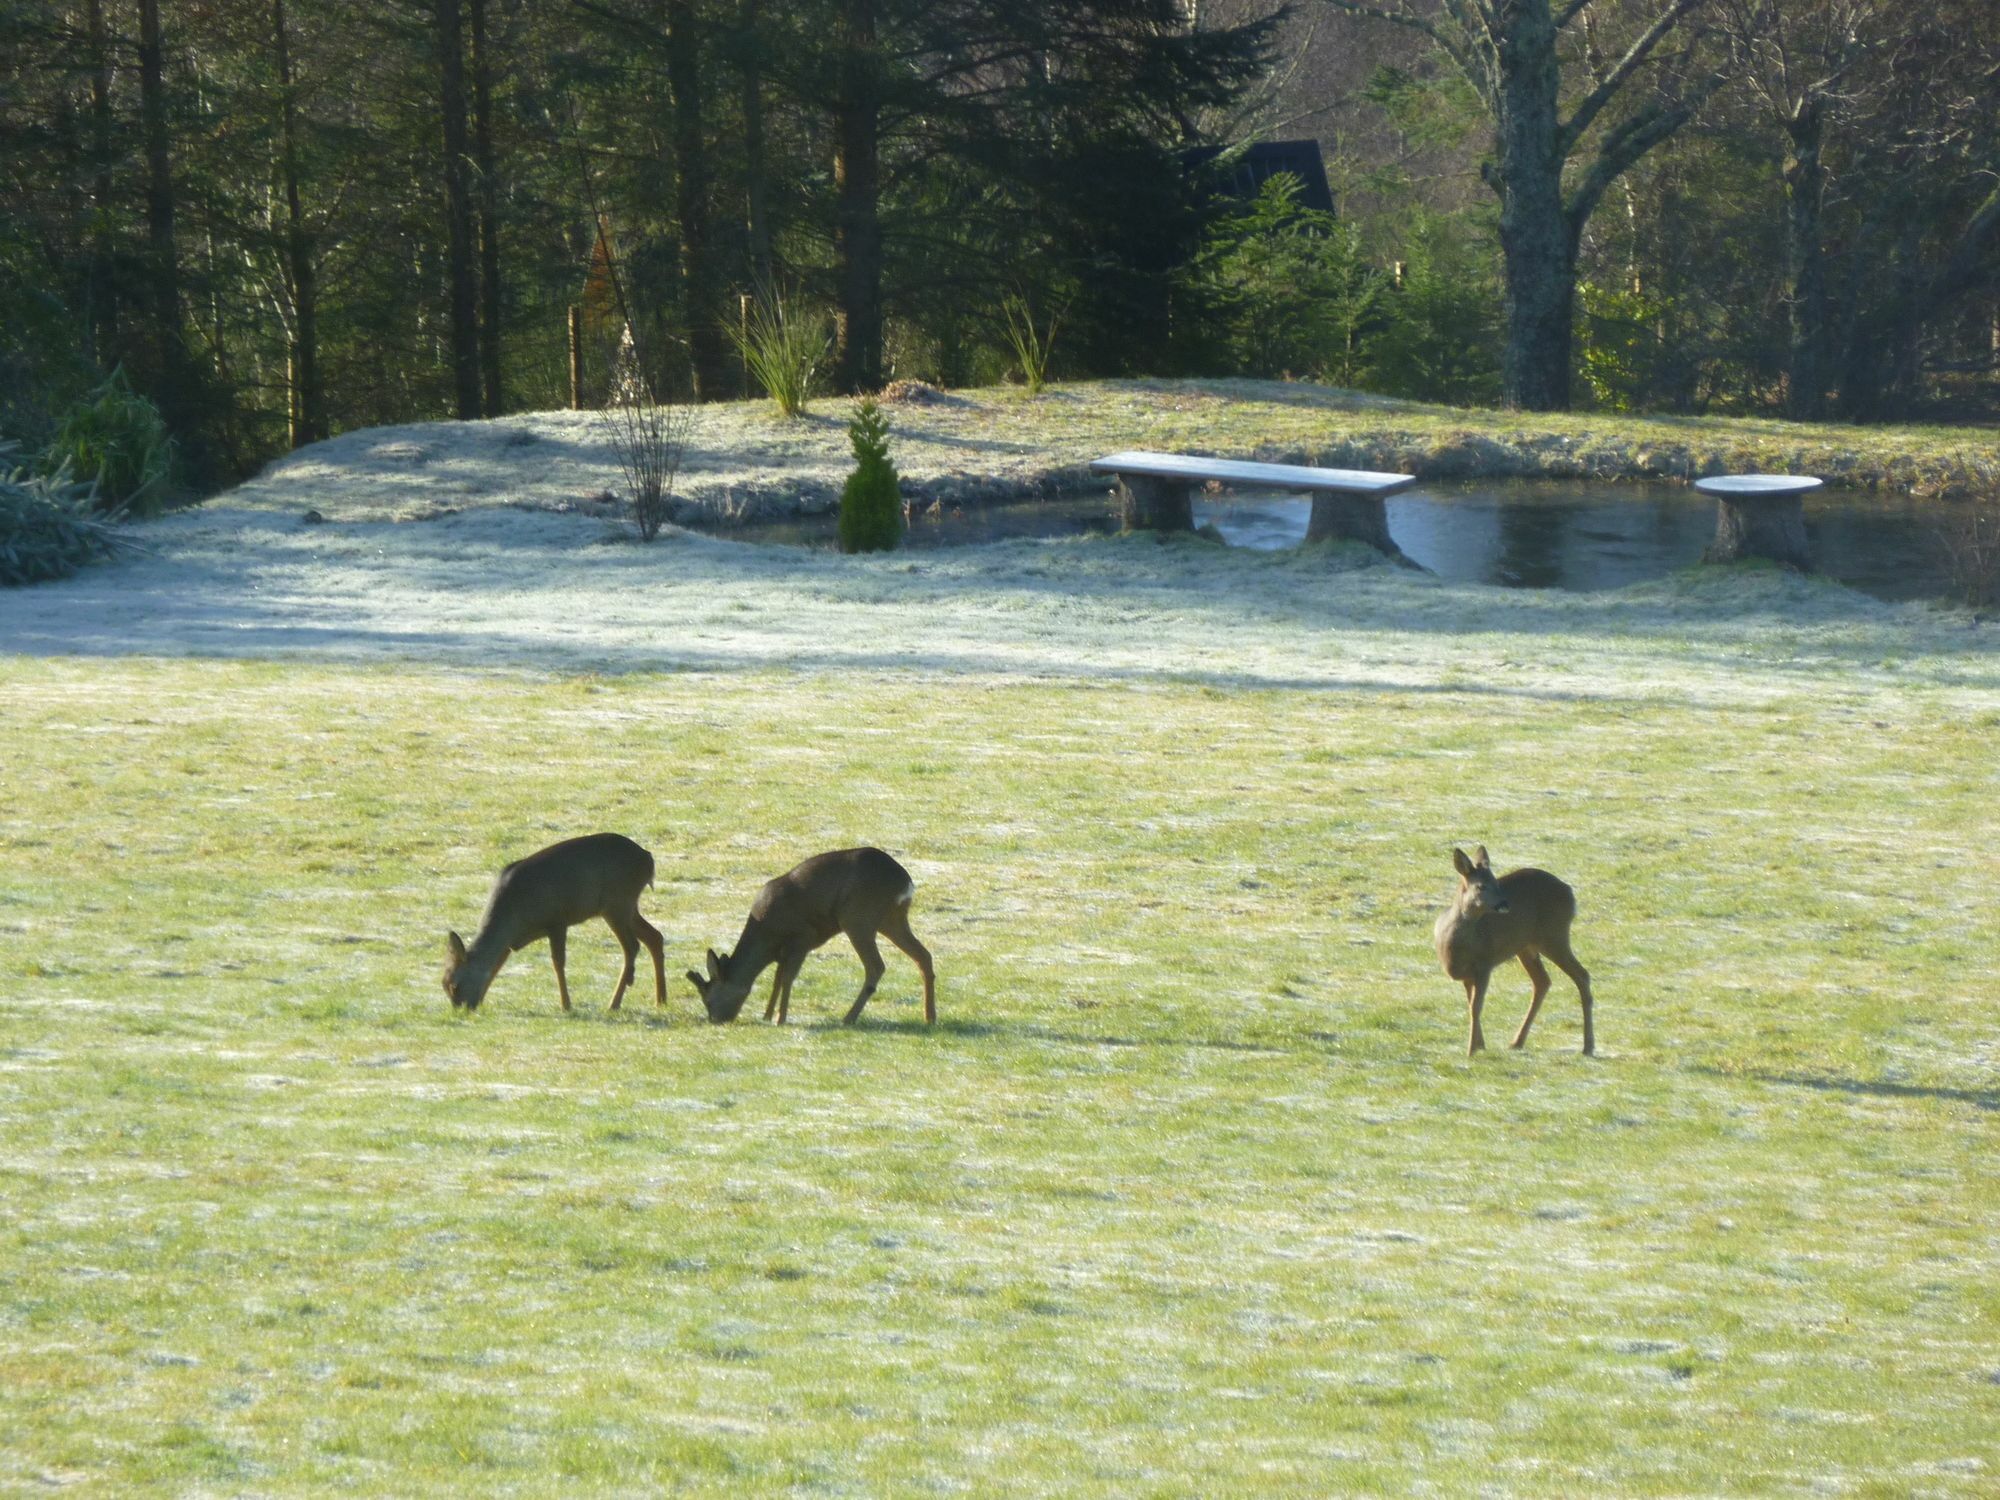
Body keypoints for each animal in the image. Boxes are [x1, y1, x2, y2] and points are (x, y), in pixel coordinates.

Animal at [688, 852, 936, 1032]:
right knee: (923, 955)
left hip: (858, 918)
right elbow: (777, 979)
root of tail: (906, 882)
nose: (715, 1020)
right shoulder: (784, 952)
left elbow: (787, 978)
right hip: (891, 919)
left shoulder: (802, 938)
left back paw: (848, 1018)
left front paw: (780, 1019)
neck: (767, 936)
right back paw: (929, 1017)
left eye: (707, 999)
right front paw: (767, 1015)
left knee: (876, 965)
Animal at [1440, 848, 1592, 1056]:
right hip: (1525, 947)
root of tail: (1570, 891)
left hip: (1554, 936)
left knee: (1582, 975)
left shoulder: (1485, 964)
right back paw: (1516, 1042)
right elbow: (1471, 1004)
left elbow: (1476, 1007)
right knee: (1543, 981)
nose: (1504, 903)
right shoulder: (1467, 975)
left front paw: (1471, 1051)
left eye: (1497, 883)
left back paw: (1588, 1046)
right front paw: (1480, 1045)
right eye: (1481, 886)